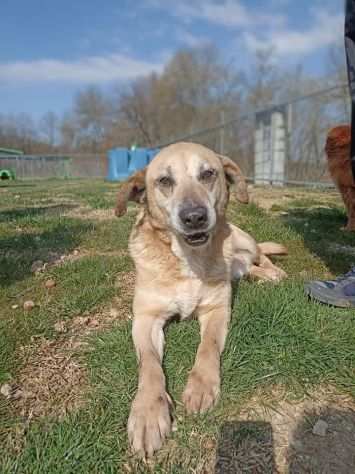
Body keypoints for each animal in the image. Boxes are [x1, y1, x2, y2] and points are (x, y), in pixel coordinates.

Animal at [115, 143, 288, 458]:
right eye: (164, 181)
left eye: (208, 174)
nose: (194, 216)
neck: (188, 260)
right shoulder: (146, 320)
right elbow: (149, 364)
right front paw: (148, 412)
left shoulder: (217, 310)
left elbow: (207, 347)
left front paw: (201, 386)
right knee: (247, 269)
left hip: (245, 241)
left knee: (261, 255)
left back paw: (274, 273)